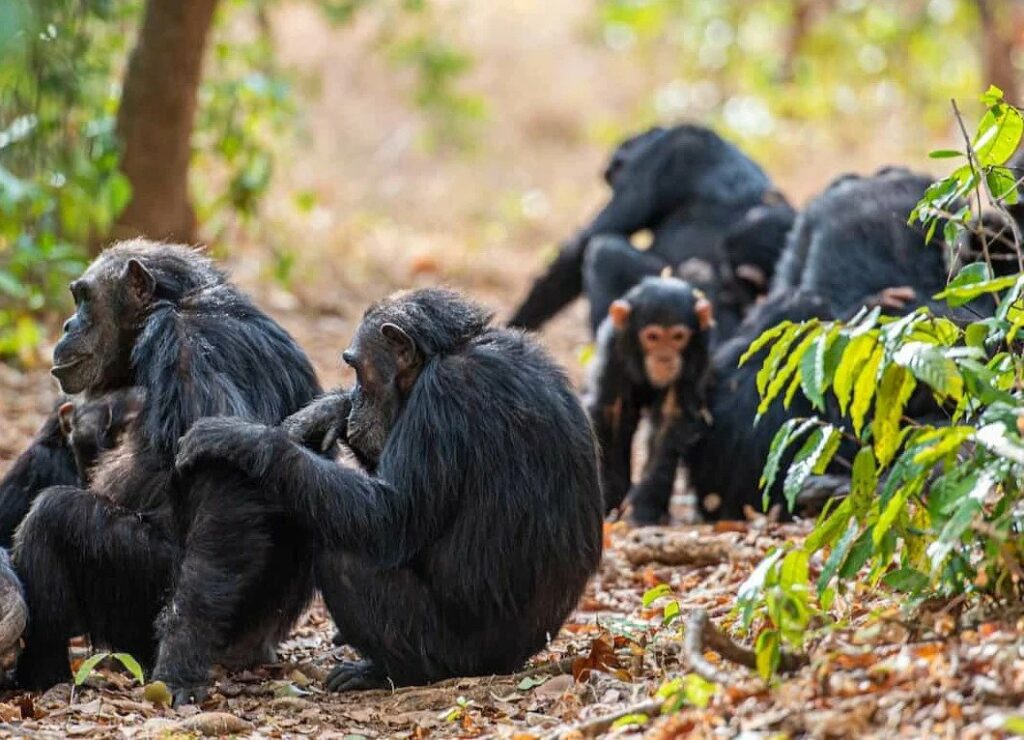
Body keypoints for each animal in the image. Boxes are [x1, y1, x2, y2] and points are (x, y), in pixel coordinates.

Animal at [0, 241, 319, 687]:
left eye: (85, 298)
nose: (67, 325)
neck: (173, 304)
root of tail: (260, 647)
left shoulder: (186, 346)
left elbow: (223, 481)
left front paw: (180, 657)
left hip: (148, 597)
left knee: (55, 515)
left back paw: (41, 678)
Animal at [163, 286, 602, 704]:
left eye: (357, 367)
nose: (357, 397)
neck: (451, 350)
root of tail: (513, 662)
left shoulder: (441, 396)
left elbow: (391, 516)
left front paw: (245, 439)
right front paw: (329, 409)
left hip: (453, 651)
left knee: (344, 553)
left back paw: (386, 672)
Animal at [585, 274, 712, 524]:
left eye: (678, 337)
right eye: (652, 337)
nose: (664, 358)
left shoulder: (697, 354)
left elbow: (668, 420)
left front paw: (645, 505)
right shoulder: (615, 345)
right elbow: (613, 412)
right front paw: (612, 497)